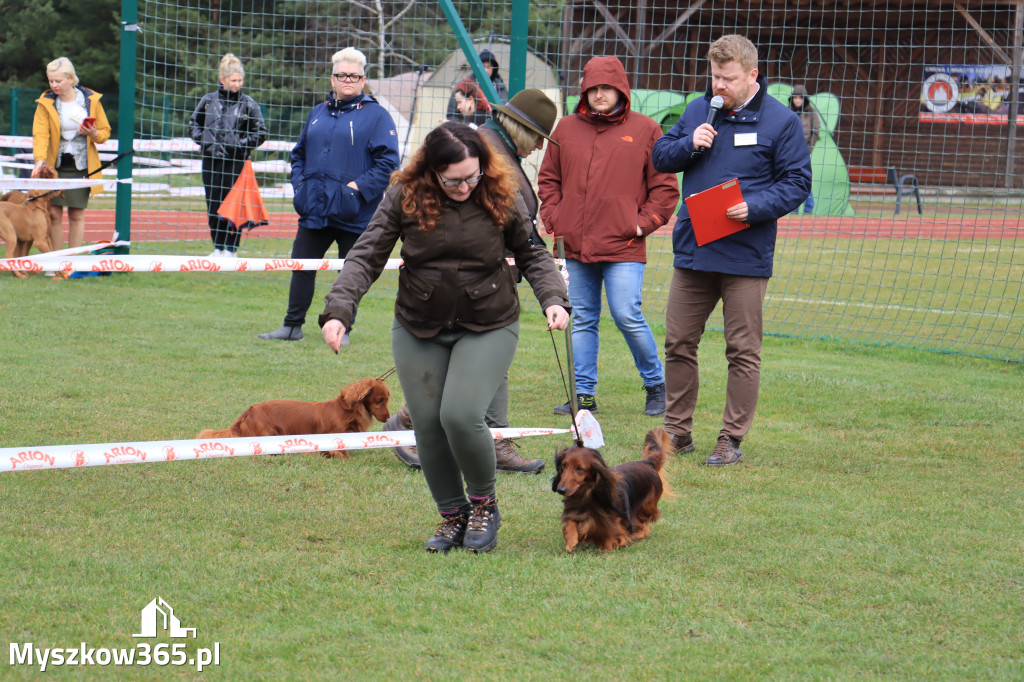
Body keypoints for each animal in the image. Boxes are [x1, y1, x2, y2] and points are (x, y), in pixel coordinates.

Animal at [196, 376, 391, 456]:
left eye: (388, 398)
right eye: (380, 400)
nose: (389, 418)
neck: (347, 411)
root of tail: (248, 411)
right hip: (268, 433)